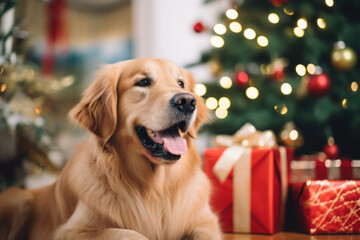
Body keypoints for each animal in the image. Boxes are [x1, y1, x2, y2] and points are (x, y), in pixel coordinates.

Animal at [0, 58, 222, 240]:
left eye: (180, 83)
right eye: (143, 82)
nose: (187, 101)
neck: (155, 188)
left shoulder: (205, 221)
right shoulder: (70, 231)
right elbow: (130, 234)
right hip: (18, 200)